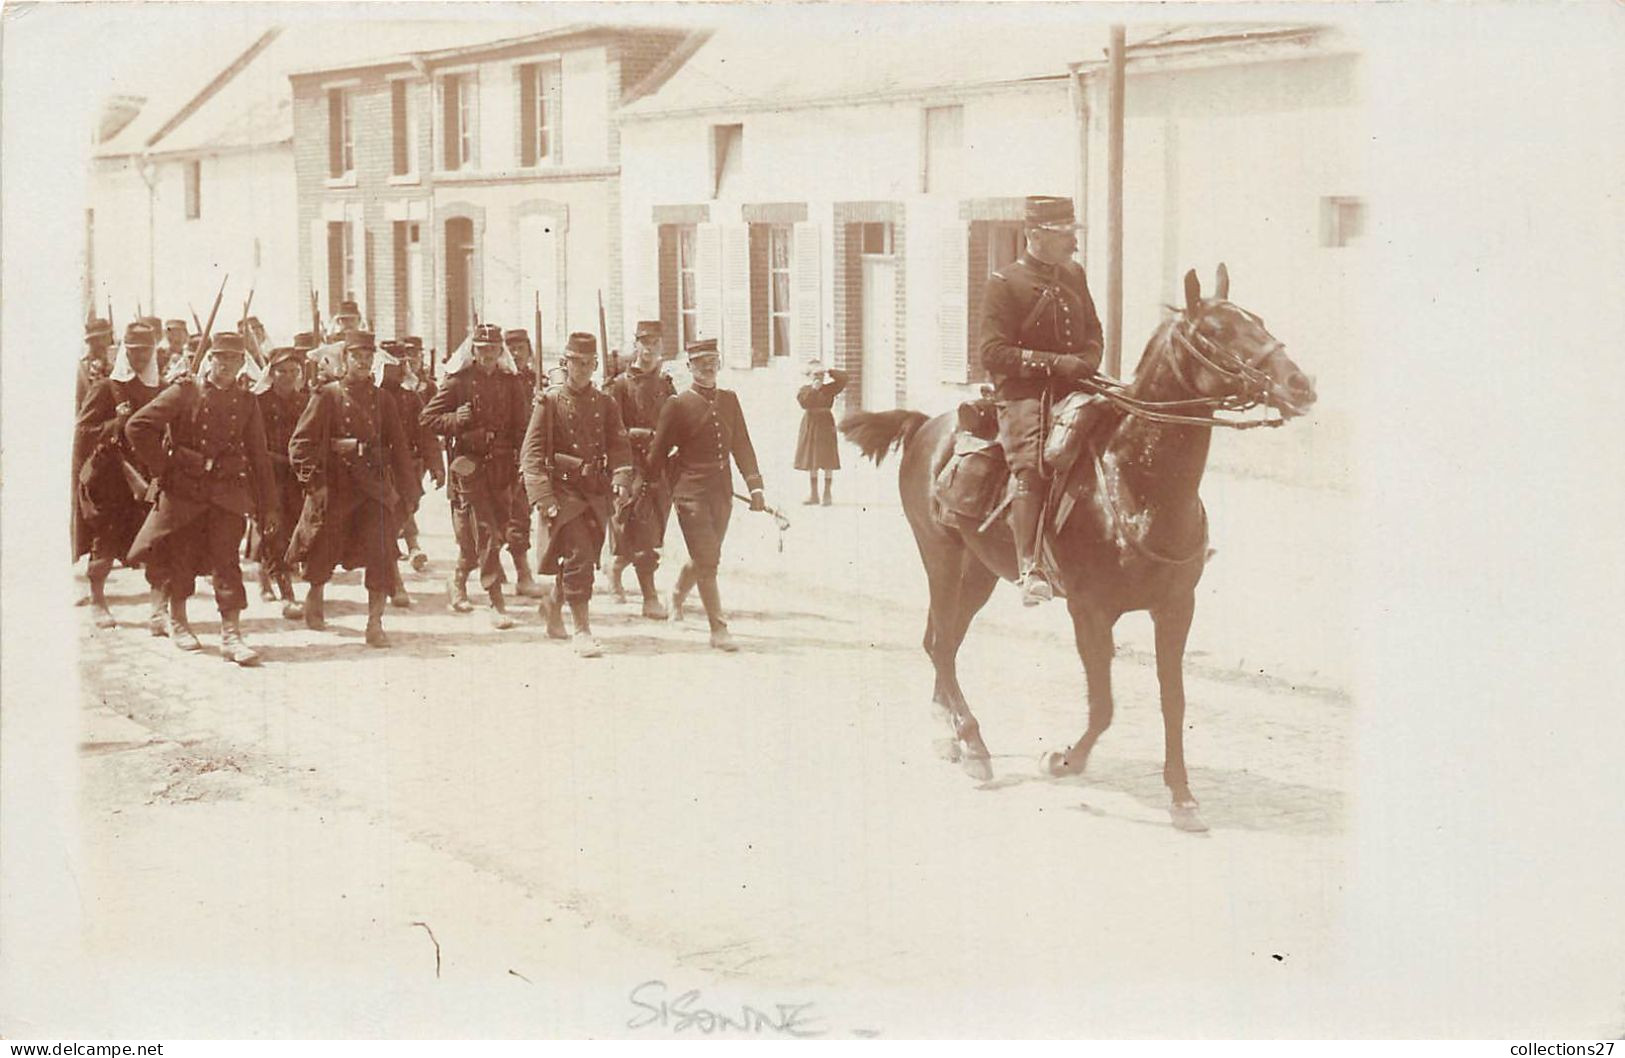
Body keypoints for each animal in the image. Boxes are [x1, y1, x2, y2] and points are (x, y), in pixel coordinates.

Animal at [845, 266, 1313, 838]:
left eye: (1259, 321)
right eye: (1215, 333)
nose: (1300, 385)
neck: (1137, 482)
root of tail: (926, 426)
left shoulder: (1175, 608)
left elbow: (1173, 701)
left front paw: (1182, 797)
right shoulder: (1090, 611)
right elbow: (1104, 705)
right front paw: (1062, 760)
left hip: (979, 573)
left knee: (942, 641)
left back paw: (951, 734)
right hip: (941, 560)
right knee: (942, 646)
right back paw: (973, 744)